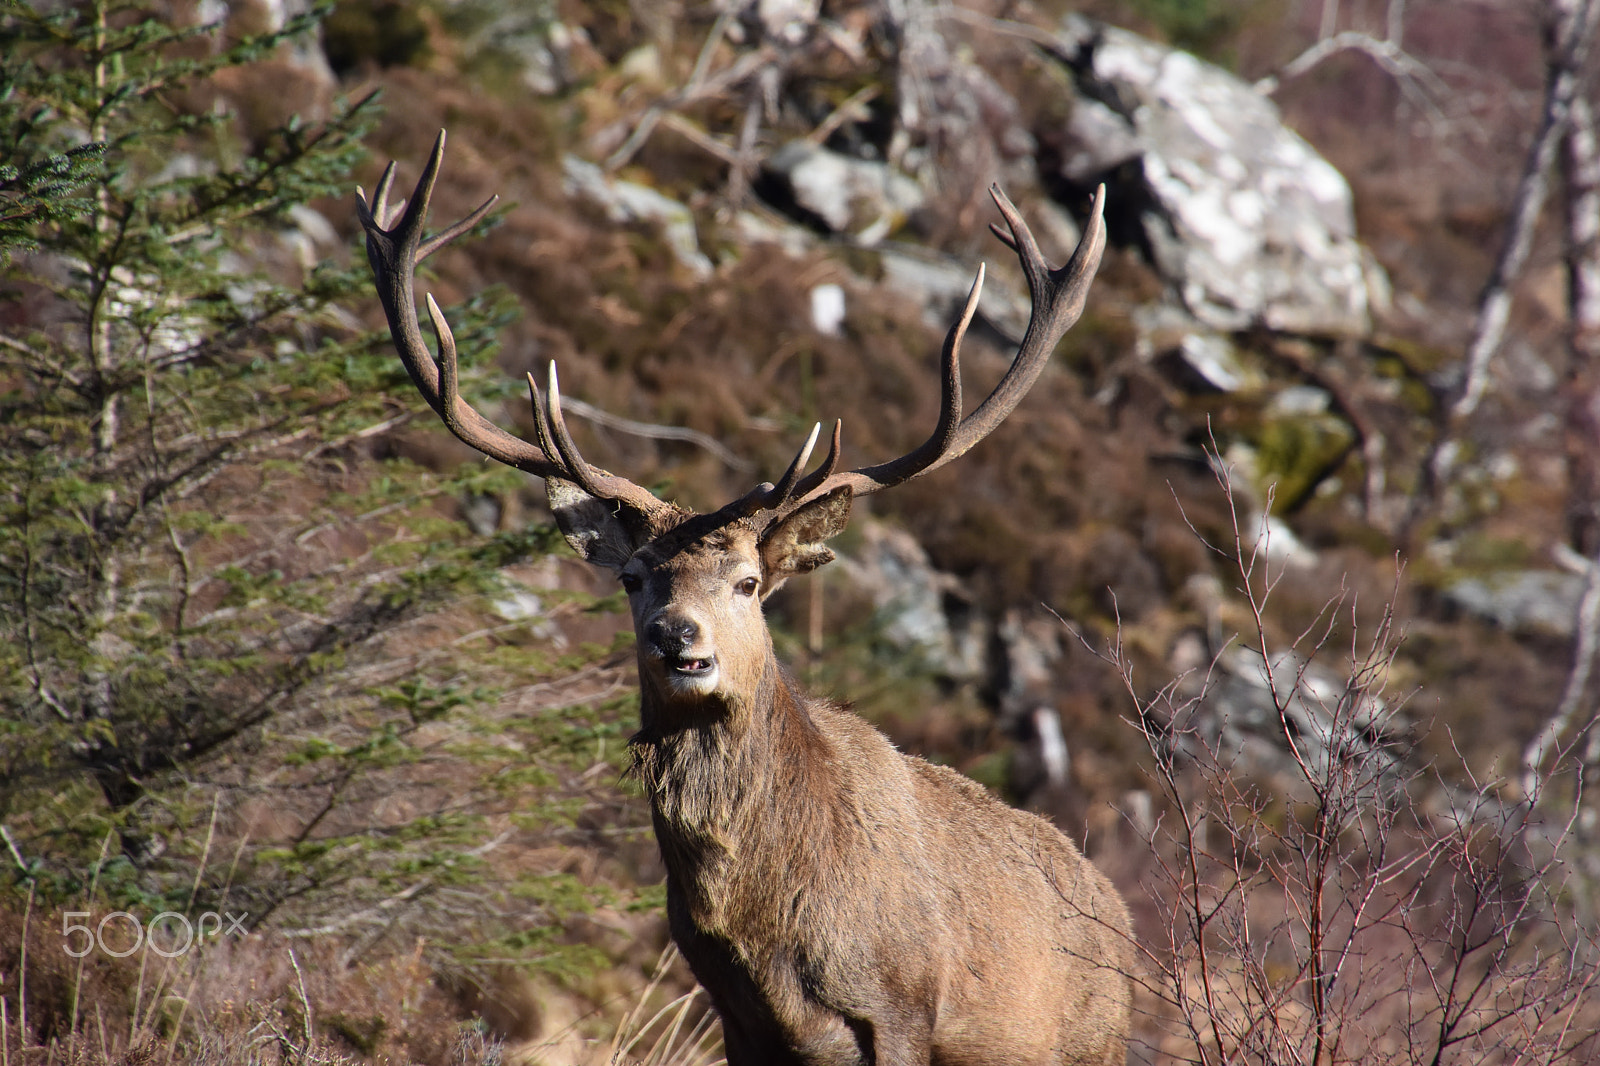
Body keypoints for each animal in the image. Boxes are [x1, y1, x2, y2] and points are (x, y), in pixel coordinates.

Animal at [357, 131, 1133, 1066]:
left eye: (749, 582)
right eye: (632, 576)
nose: (676, 637)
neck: (767, 926)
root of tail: (1127, 924)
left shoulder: (905, 1008)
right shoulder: (736, 1018)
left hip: (1087, 1042)